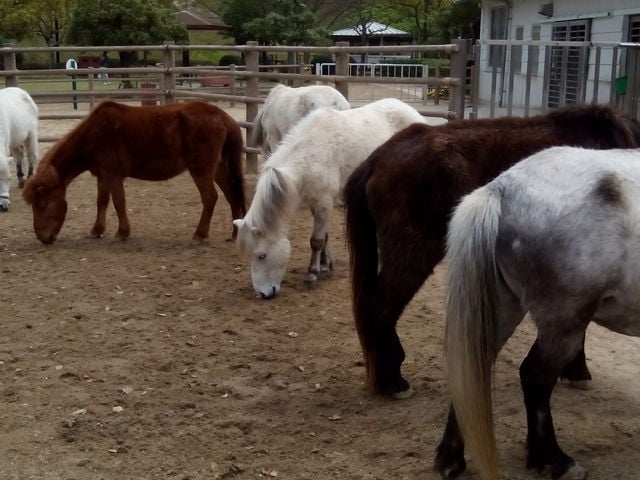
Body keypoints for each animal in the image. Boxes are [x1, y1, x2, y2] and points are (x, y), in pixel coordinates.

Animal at [23, 100, 246, 245]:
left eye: (42, 204)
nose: (42, 237)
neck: (92, 135)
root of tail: (221, 115)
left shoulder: (113, 175)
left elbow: (118, 202)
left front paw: (122, 232)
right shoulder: (102, 175)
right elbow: (102, 202)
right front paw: (97, 231)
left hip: (200, 169)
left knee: (210, 198)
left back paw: (200, 234)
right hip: (217, 168)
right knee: (232, 195)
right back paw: (235, 234)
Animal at [234, 98, 445, 299]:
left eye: (261, 255)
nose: (262, 294)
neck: (309, 154)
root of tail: (414, 114)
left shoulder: (324, 201)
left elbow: (316, 240)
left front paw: (312, 274)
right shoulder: (315, 203)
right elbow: (325, 236)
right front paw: (325, 265)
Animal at [438, 146, 640, 480]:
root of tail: (501, 189)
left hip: (500, 310)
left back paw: (451, 458)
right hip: (563, 323)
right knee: (535, 378)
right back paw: (555, 460)